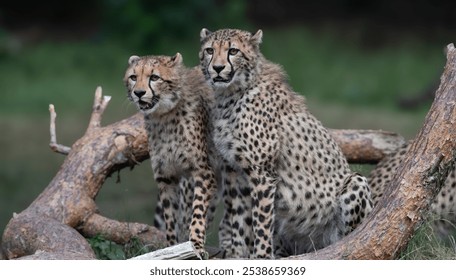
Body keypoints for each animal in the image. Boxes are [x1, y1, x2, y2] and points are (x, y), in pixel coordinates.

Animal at [124, 53, 218, 260]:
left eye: (154, 77)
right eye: (133, 77)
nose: (139, 93)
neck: (164, 116)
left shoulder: (202, 172)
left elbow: (197, 213)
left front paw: (196, 246)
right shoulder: (166, 177)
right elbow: (170, 219)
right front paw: (172, 248)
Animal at [200, 28, 374, 258]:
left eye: (233, 51)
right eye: (210, 50)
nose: (217, 68)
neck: (230, 95)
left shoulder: (262, 174)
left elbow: (261, 222)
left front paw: (261, 256)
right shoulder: (234, 174)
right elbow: (239, 220)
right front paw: (237, 255)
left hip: (355, 181)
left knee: (348, 239)